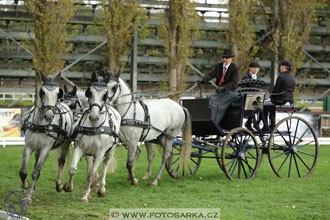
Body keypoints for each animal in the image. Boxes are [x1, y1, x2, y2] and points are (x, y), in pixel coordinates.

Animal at [19, 73, 73, 204]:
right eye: (42, 92)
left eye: (58, 93)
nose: (49, 115)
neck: (41, 124)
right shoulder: (28, 147)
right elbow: (23, 172)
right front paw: (25, 185)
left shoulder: (46, 149)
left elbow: (35, 173)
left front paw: (28, 196)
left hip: (65, 143)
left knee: (61, 161)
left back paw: (59, 185)